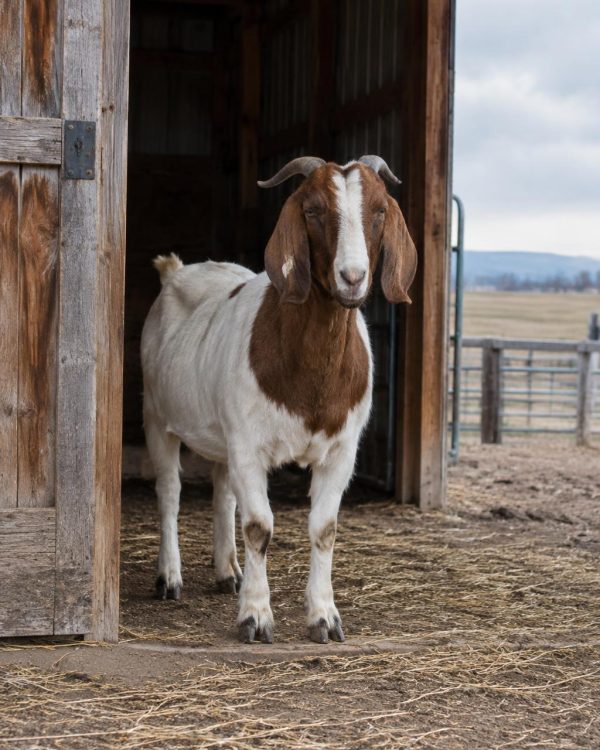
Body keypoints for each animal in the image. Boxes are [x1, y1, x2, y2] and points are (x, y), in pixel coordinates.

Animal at [141, 155, 417, 644]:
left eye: (381, 210)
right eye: (312, 210)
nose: (353, 277)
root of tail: (176, 271)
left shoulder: (341, 451)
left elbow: (324, 529)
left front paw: (324, 617)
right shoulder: (248, 445)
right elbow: (259, 527)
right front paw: (255, 616)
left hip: (221, 435)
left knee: (221, 493)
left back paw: (227, 572)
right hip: (157, 415)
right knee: (170, 493)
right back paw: (169, 577)